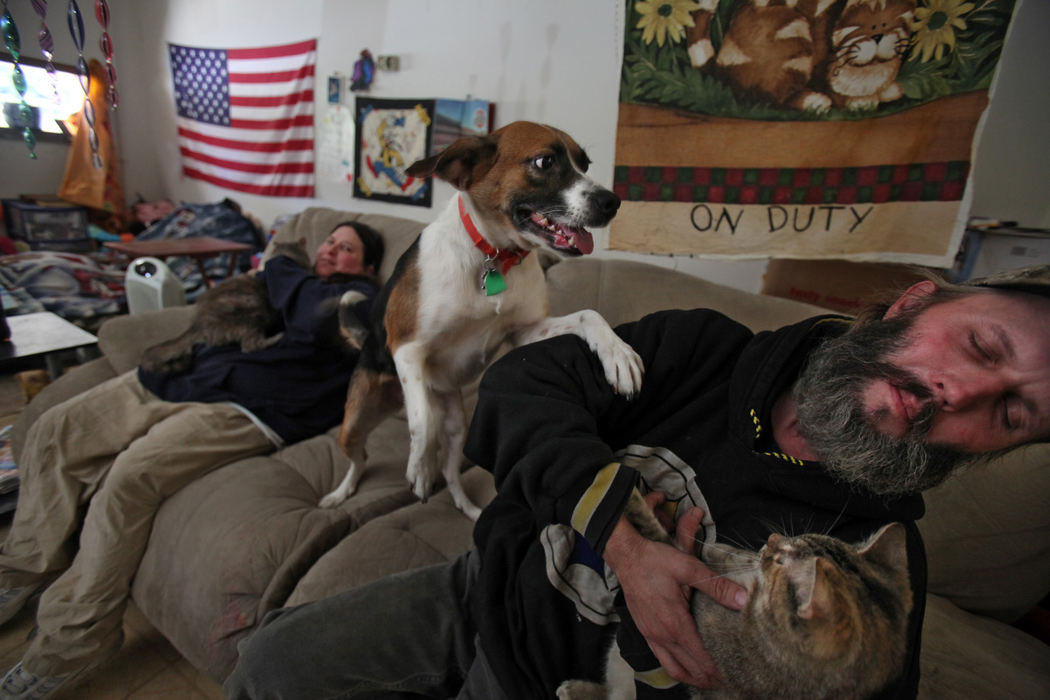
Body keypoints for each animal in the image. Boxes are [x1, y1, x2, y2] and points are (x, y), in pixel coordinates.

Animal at [319, 120, 642, 520]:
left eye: (585, 163)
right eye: (545, 161)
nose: (612, 202)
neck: (493, 256)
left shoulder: (525, 332)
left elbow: (589, 314)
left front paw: (618, 354)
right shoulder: (407, 348)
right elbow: (422, 423)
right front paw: (419, 470)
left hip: (458, 424)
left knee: (450, 470)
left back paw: (468, 507)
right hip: (354, 421)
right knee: (361, 457)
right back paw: (341, 493)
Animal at [558, 491, 911, 700]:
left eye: (783, 560)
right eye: (800, 536)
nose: (771, 538)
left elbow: (667, 543)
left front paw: (631, 498)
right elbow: (720, 554)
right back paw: (574, 688)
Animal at [684, 0, 915, 111]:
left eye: (887, 23)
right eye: (860, 27)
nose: (877, 35)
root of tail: (721, 69)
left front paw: (886, 91)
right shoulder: (819, 49)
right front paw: (857, 102)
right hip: (792, 29)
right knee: (767, 99)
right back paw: (812, 100)